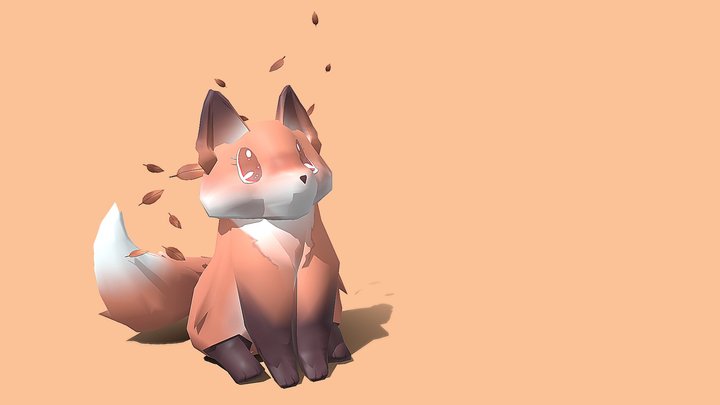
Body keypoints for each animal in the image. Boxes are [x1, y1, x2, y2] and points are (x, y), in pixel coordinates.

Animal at [93, 85, 350, 388]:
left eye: (305, 157)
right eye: (248, 165)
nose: (301, 177)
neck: (289, 246)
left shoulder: (317, 278)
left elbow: (311, 332)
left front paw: (316, 370)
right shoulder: (257, 289)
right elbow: (275, 342)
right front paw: (286, 378)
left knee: (328, 329)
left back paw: (339, 350)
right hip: (214, 320)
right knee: (221, 347)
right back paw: (244, 368)